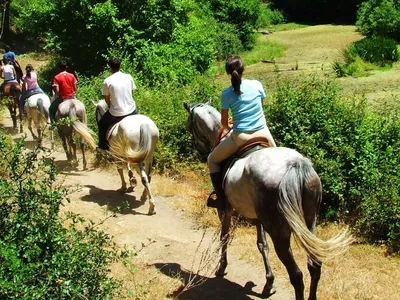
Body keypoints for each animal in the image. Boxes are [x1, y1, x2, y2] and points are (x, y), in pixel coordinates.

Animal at [183, 102, 352, 300]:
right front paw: (268, 283)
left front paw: (221, 268)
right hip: (310, 222)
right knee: (314, 265)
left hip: (278, 230)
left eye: (189, 125)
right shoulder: (258, 218)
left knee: (297, 275)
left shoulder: (227, 210)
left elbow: (225, 237)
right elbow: (262, 244)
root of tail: (296, 165)